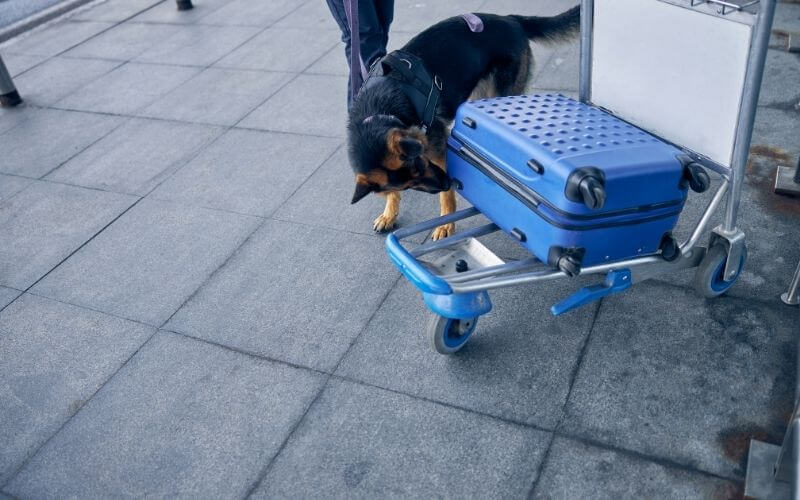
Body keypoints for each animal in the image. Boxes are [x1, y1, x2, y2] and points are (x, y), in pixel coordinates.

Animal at [346, 5, 580, 240]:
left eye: (421, 164)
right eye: (409, 185)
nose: (446, 182)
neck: (378, 109)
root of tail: (510, 19)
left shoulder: (439, 151)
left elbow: (447, 197)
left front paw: (446, 223)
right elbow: (391, 193)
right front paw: (389, 213)